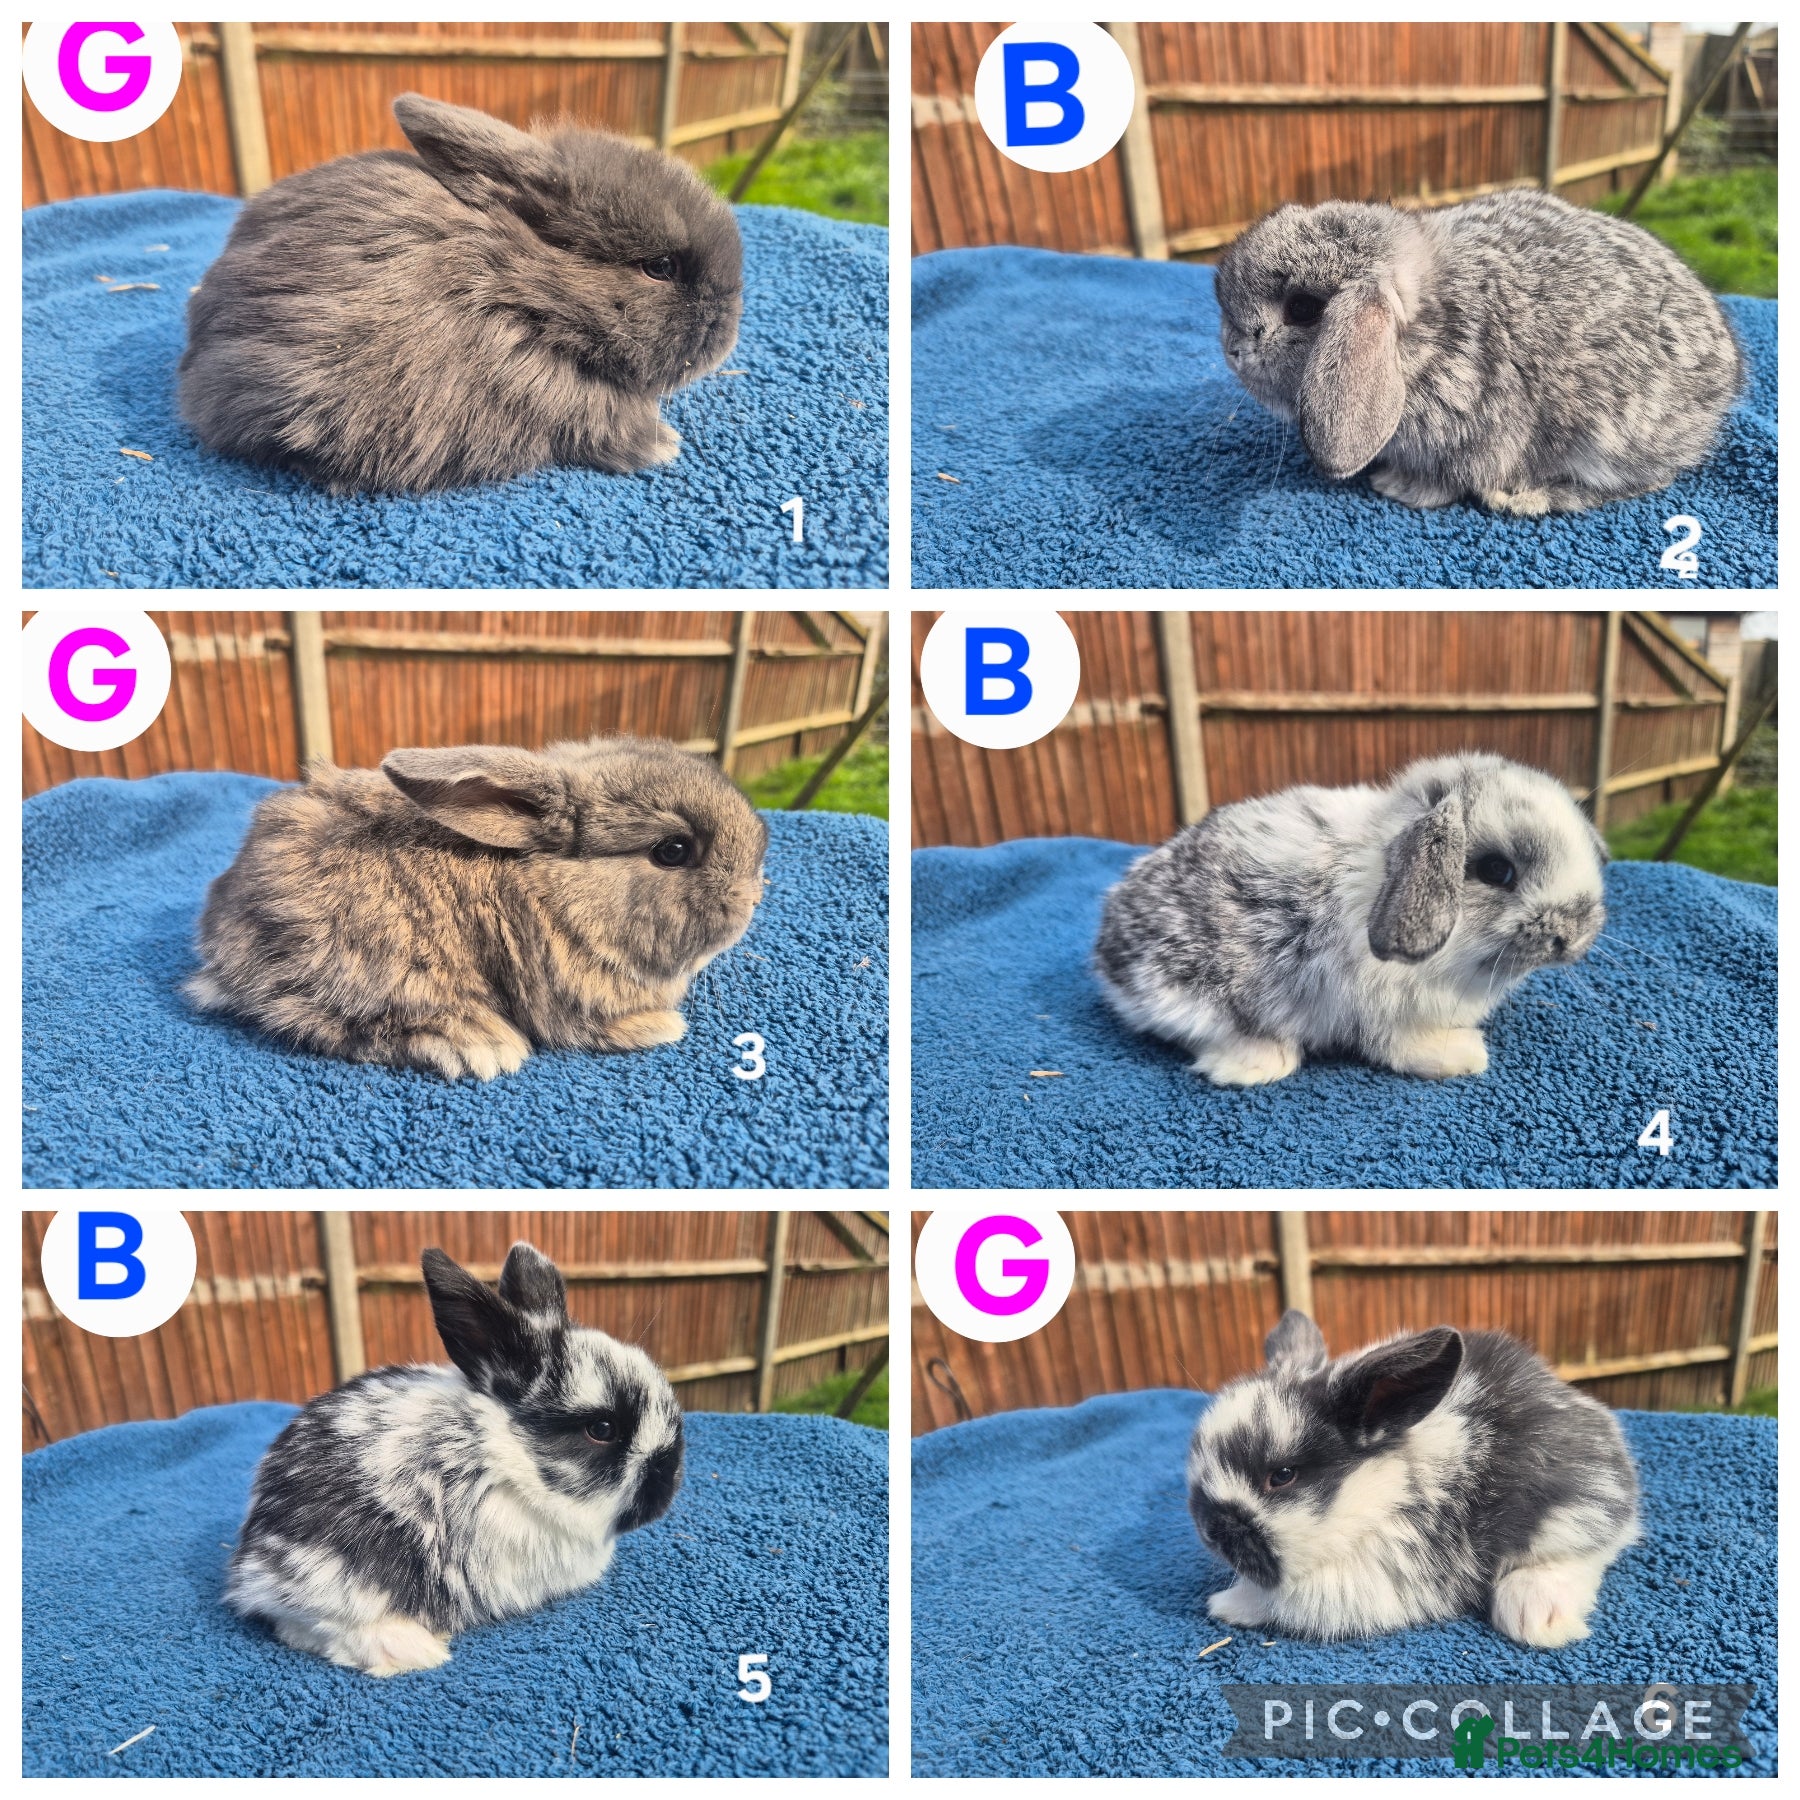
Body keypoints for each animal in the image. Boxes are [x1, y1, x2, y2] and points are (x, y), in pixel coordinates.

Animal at [225, 1241, 685, 1676]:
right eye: (602, 1429)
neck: (507, 1458)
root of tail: (252, 1559)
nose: (671, 1480)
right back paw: (413, 1650)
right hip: (338, 1577)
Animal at [1094, 752, 1606, 1086]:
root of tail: (1105, 951)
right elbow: (1397, 1044)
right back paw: (1256, 1064)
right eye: (1496, 870)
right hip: (1193, 994)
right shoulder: (1384, 1010)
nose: (1576, 933)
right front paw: (1464, 1056)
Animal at [1187, 1309, 1640, 1647]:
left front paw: (1224, 1603)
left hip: (1574, 1510)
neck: (1382, 1495)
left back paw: (1537, 1616)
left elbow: (1274, 1602)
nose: (1211, 1531)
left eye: (1281, 1476)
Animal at [1213, 189, 1743, 515]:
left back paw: (1525, 499)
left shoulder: (1470, 435)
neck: (1426, 337)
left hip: (1610, 438)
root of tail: (1726, 379)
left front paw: (1397, 488)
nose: (1234, 350)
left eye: (1303, 309)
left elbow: (1446, 482)